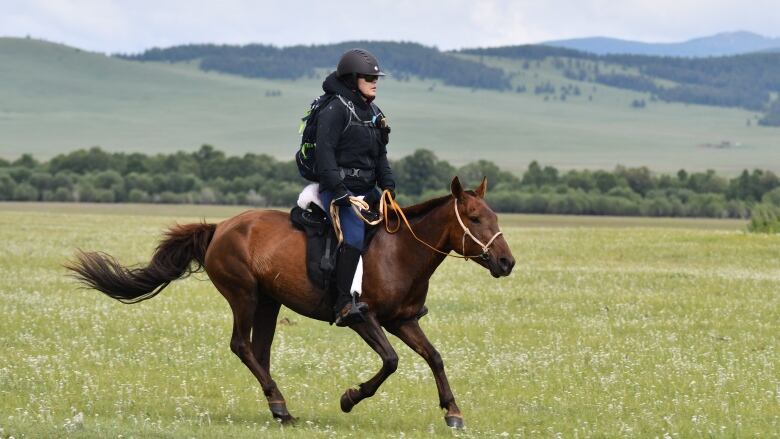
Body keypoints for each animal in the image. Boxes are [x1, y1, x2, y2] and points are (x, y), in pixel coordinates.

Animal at [67, 176, 516, 430]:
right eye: (475, 218)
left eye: (494, 216)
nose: (506, 262)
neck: (400, 252)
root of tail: (220, 227)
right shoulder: (363, 318)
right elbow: (391, 361)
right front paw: (349, 398)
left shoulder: (404, 321)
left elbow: (435, 357)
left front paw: (453, 412)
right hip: (245, 295)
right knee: (242, 346)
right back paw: (281, 407)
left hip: (269, 301)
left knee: (259, 351)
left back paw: (277, 405)